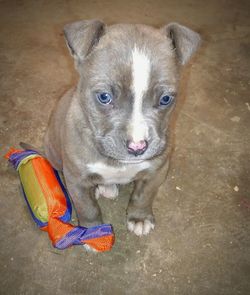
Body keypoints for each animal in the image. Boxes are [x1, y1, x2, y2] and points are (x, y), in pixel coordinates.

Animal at [43, 19, 199, 237]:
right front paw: (92, 231)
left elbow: (143, 196)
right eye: (104, 97)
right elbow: (87, 207)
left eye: (166, 99)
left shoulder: (157, 171)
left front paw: (139, 218)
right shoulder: (76, 180)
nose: (137, 147)